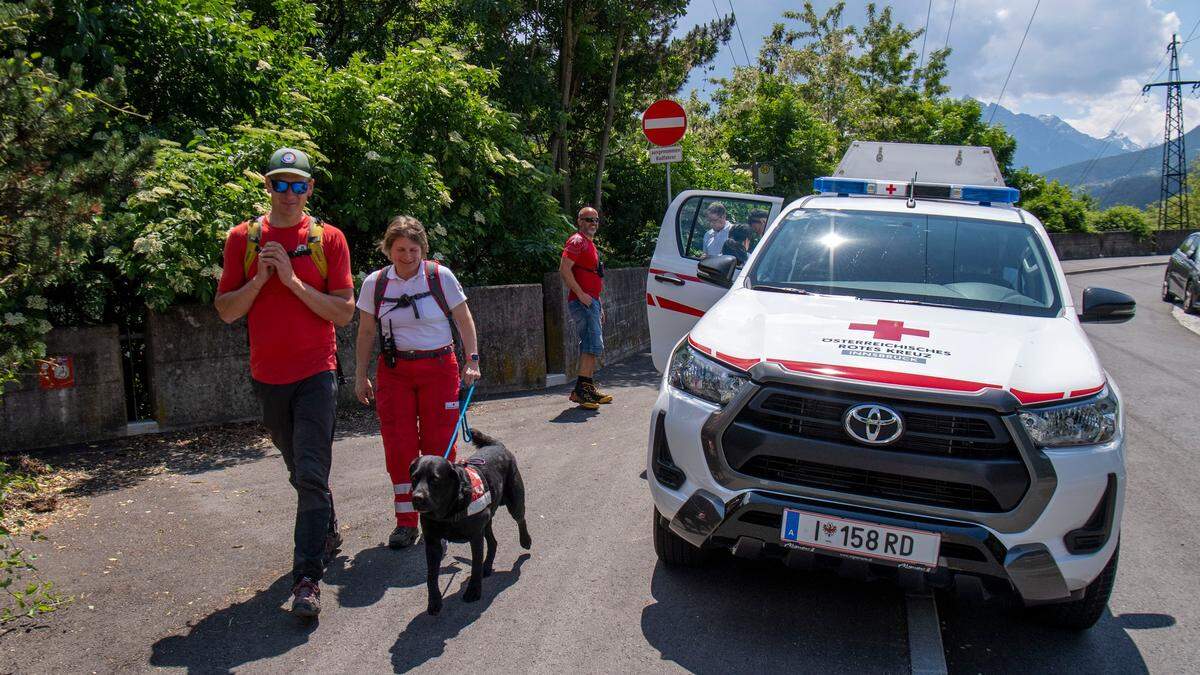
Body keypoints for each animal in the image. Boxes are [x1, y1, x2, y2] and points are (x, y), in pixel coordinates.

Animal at [408, 427, 530, 612]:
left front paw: (473, 591)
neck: (448, 512)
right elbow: (431, 575)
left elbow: (475, 565)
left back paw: (525, 541)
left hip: (514, 500)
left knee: (520, 519)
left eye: (435, 479)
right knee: (493, 542)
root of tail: (497, 445)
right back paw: (487, 566)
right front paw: (434, 600)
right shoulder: (432, 543)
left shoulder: (475, 537)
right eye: (414, 477)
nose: (417, 498)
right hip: (486, 521)